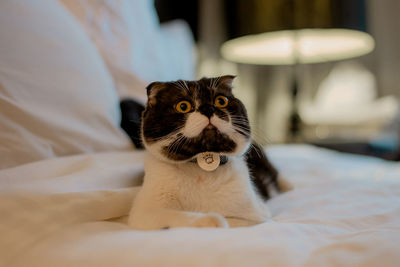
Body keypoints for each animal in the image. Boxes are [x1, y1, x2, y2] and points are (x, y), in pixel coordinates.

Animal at [127, 75, 288, 230]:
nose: (208, 108)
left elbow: (234, 219)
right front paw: (210, 220)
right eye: (183, 106)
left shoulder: (257, 214)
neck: (202, 168)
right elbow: (174, 215)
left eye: (221, 101)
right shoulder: (144, 212)